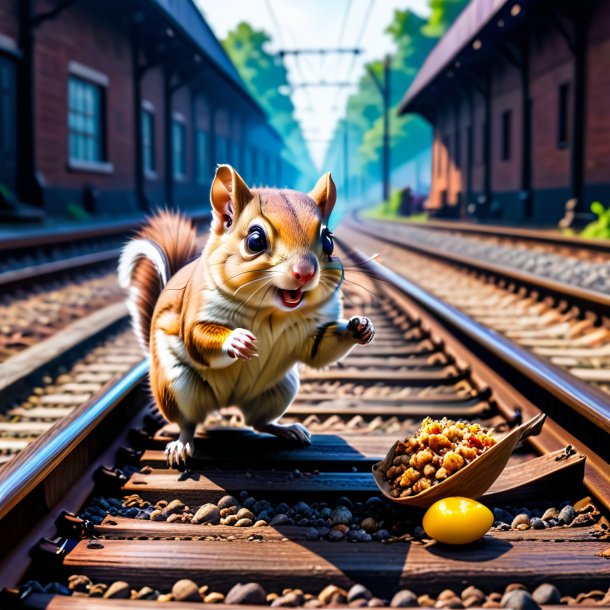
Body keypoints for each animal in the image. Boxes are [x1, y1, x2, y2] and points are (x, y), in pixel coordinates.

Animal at [118, 164, 372, 464]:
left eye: (329, 241)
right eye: (255, 240)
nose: (305, 272)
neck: (271, 312)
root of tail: (226, 402)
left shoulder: (311, 331)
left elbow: (318, 351)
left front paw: (360, 327)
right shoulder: (197, 308)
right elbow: (196, 337)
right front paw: (237, 340)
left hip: (278, 389)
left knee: (258, 422)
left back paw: (288, 429)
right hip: (176, 386)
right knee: (188, 423)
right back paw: (181, 445)